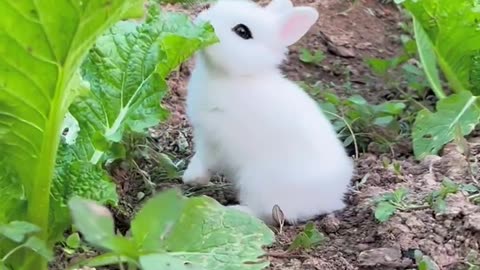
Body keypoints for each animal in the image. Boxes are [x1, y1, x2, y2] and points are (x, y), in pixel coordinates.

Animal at [182, 0, 354, 224]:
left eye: (242, 31)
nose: (203, 22)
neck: (238, 77)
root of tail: (330, 199)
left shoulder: (217, 140)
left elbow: (206, 159)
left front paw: (193, 179)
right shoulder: (203, 134)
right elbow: (198, 157)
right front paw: (189, 176)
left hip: (257, 182)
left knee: (268, 214)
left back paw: (234, 211)